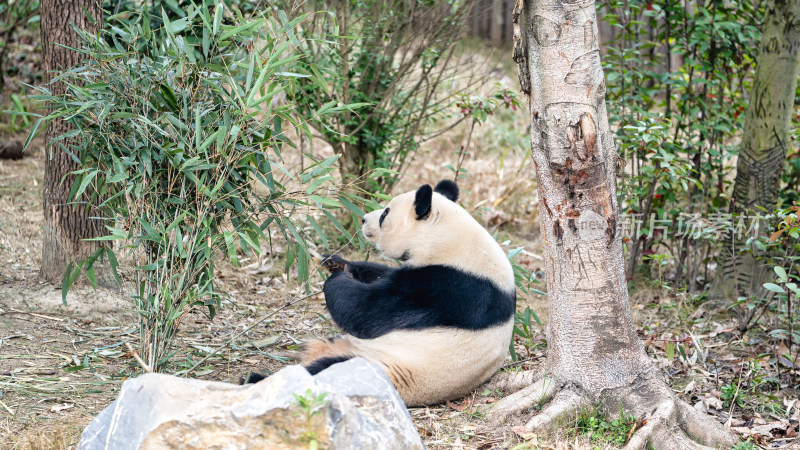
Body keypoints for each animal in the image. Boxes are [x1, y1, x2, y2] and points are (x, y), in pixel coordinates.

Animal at [247, 180, 516, 408]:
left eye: (385, 213)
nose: (364, 219)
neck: (448, 238)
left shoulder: (448, 287)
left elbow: (368, 312)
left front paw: (338, 277)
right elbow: (379, 273)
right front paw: (336, 261)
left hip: (377, 366)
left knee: (322, 373)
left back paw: (256, 379)